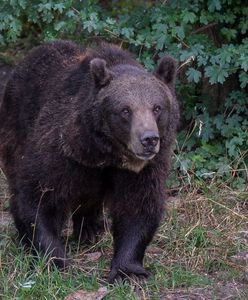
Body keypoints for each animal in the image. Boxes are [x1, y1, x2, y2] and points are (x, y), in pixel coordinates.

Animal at [0, 40, 179, 284]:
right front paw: (55, 260)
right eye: (125, 110)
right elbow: (37, 197)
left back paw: (91, 228)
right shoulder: (60, 150)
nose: (149, 139)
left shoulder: (143, 170)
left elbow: (138, 207)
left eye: (157, 107)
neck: (104, 153)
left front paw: (128, 271)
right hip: (14, 127)